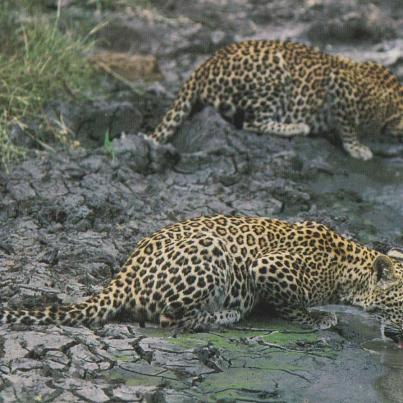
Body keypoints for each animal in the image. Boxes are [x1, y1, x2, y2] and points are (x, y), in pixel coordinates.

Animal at [0, 216, 403, 342]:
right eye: (401, 305)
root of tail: (125, 271)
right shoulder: (267, 266)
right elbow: (292, 305)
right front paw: (319, 318)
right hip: (212, 250)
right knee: (171, 319)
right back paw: (222, 316)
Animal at [148, 39, 403, 161]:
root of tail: (204, 64)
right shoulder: (341, 85)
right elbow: (348, 125)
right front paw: (357, 148)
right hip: (276, 76)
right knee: (252, 122)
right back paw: (296, 126)